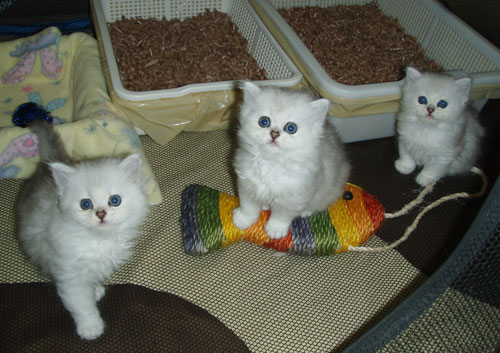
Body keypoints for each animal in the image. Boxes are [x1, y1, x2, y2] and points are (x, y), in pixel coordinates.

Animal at [18, 120, 150, 338]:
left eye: (115, 200)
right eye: (85, 204)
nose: (101, 214)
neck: (99, 241)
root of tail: (47, 163)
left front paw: (95, 289)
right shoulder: (70, 275)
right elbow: (81, 305)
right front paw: (91, 328)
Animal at [232, 81, 350, 238]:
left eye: (291, 128)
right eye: (264, 121)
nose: (274, 133)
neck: (271, 162)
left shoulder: (293, 198)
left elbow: (281, 216)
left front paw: (275, 231)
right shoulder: (247, 186)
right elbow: (248, 207)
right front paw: (242, 221)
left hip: (331, 191)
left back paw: (306, 211)